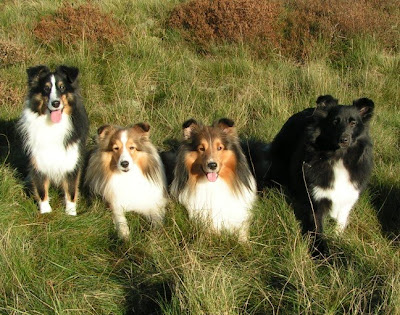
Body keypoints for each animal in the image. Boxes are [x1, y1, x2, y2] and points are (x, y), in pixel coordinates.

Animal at [266, 95, 376, 256]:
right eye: (334, 122)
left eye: (353, 122)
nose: (344, 139)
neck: (338, 157)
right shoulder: (316, 197)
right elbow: (317, 228)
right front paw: (321, 254)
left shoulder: (349, 195)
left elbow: (340, 222)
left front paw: (337, 239)